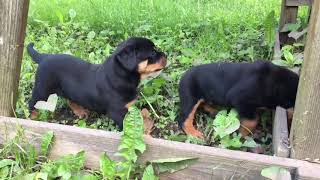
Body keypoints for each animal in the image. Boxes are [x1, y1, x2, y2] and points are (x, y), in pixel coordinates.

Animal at [27, 37, 168, 129]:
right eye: (153, 52)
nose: (166, 55)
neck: (123, 76)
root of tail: (44, 57)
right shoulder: (117, 112)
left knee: (70, 99)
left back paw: (80, 111)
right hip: (42, 88)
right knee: (32, 102)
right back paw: (32, 118)